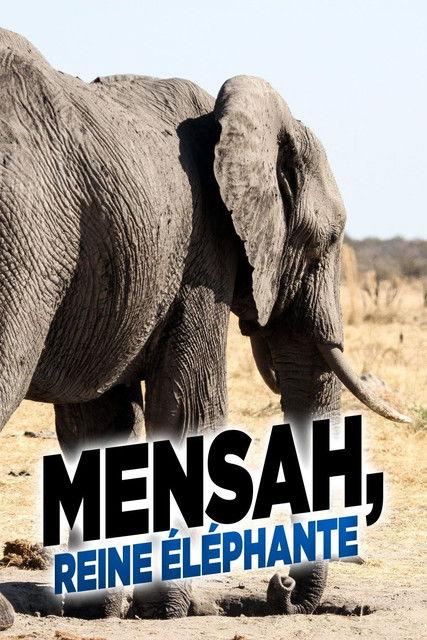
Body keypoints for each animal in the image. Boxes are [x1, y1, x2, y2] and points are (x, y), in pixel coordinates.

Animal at [0, 28, 410, 627]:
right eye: (331, 239)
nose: (281, 587)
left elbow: (99, 423)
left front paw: (108, 609)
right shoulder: (203, 253)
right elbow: (189, 410)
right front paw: (181, 609)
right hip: (24, 231)